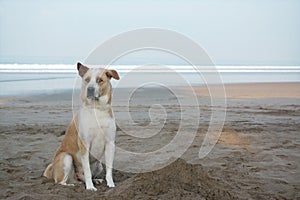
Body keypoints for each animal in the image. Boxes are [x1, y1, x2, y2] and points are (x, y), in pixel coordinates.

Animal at [43, 62, 119, 191]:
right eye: (87, 80)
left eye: (100, 80)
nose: (90, 89)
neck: (97, 110)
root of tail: (52, 169)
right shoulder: (84, 144)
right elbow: (87, 170)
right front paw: (90, 187)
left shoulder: (110, 143)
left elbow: (109, 168)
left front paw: (111, 184)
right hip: (66, 157)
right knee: (60, 181)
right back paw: (71, 184)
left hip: (99, 164)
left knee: (82, 177)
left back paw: (94, 180)